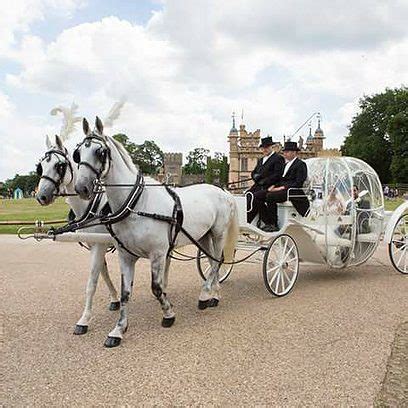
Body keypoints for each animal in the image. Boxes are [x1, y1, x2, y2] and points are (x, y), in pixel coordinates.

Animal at [35, 135, 119, 334]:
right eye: (40, 166)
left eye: (60, 165)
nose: (41, 196)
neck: (93, 207)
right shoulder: (94, 244)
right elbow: (103, 274)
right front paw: (115, 299)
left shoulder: (100, 245)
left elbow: (92, 282)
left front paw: (84, 319)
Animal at [75, 117, 237, 348]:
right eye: (78, 152)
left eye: (100, 152)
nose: (82, 188)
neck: (136, 204)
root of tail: (223, 190)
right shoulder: (126, 256)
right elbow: (125, 293)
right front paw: (118, 329)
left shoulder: (158, 254)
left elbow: (157, 287)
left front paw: (168, 314)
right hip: (203, 237)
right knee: (213, 261)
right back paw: (214, 295)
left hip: (218, 233)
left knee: (216, 263)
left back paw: (205, 295)